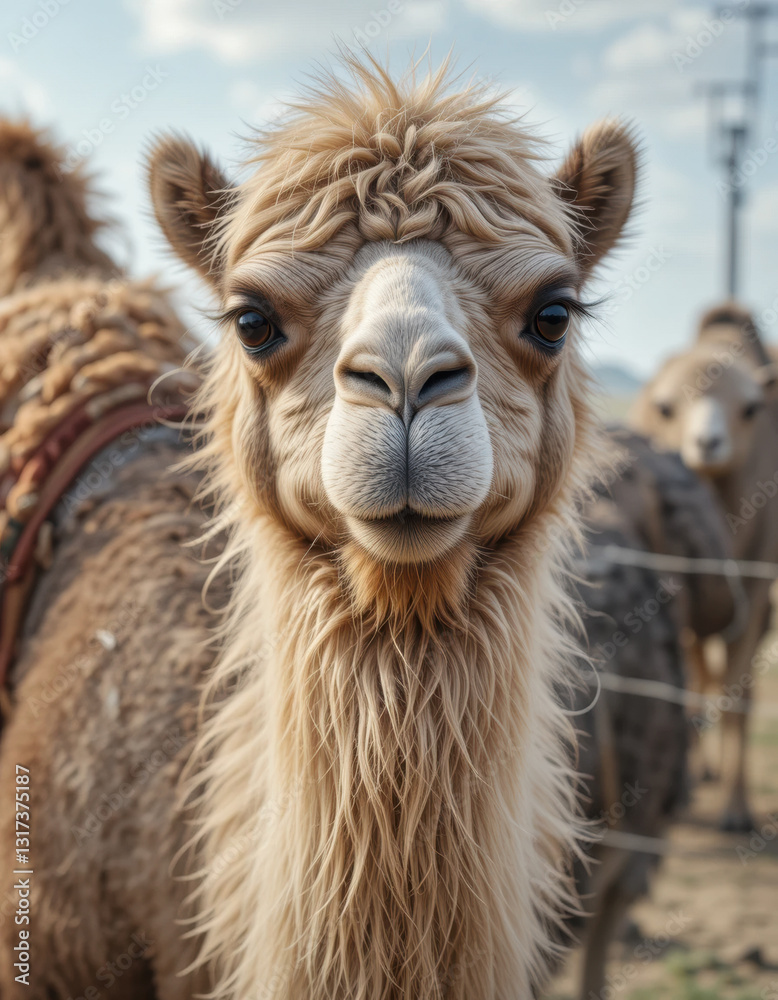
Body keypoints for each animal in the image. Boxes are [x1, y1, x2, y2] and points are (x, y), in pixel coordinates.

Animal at [630, 303, 778, 831]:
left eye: (751, 409)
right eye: (666, 408)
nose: (707, 442)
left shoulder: (756, 588)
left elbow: (737, 697)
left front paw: (737, 812)